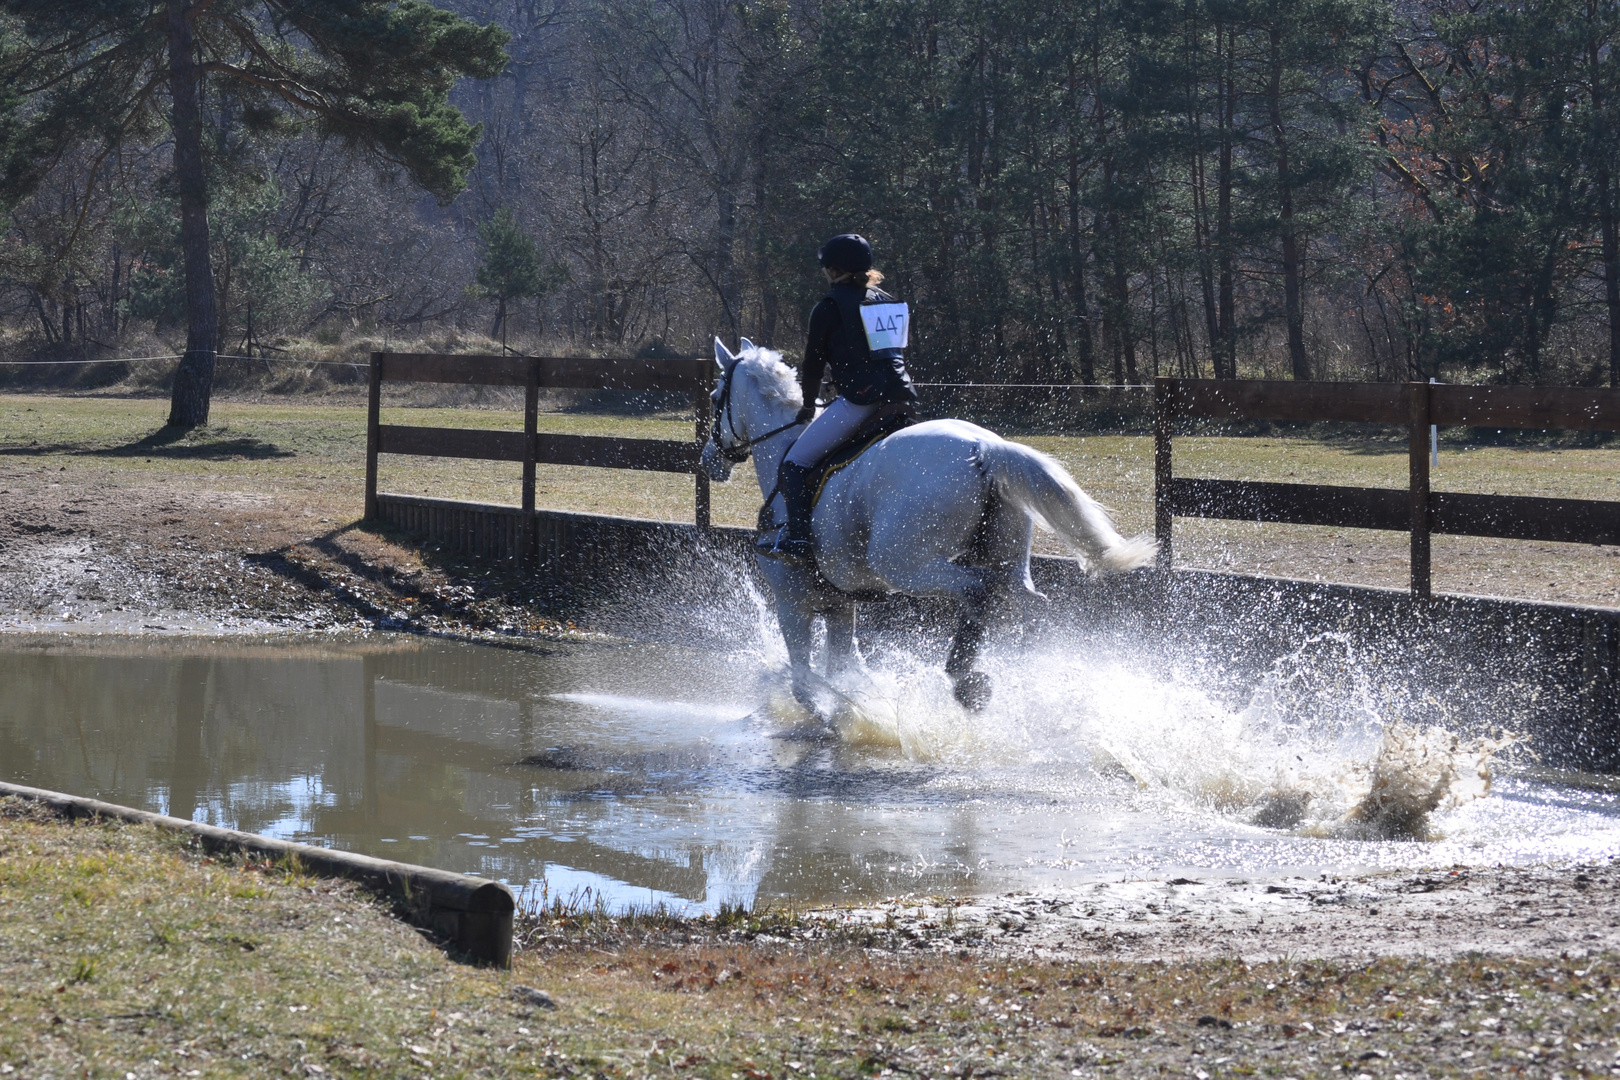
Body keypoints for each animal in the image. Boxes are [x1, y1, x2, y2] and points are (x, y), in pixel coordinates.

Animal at [696, 333, 1153, 712]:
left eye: (717, 395)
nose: (708, 461)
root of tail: (984, 446)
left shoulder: (792, 604)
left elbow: (806, 684)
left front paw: (836, 719)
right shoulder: (840, 605)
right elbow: (841, 668)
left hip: (904, 564)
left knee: (978, 592)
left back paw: (966, 679)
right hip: (1004, 557)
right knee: (1027, 604)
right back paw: (1023, 682)